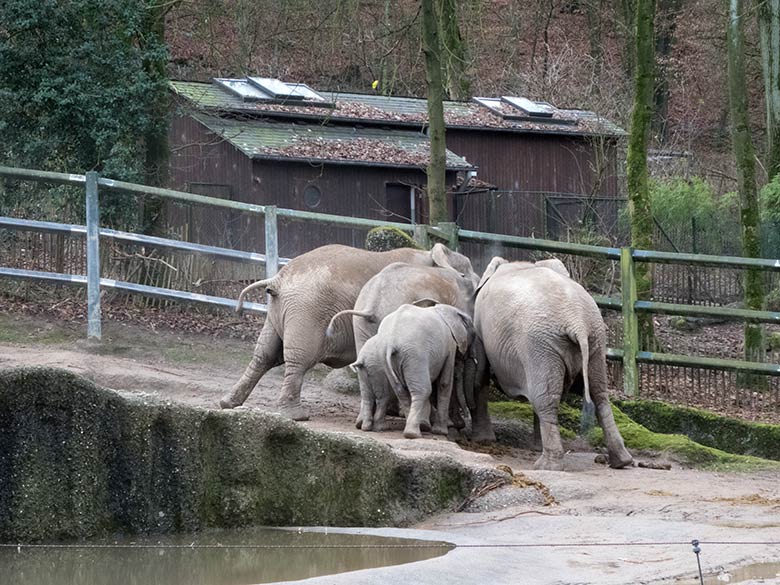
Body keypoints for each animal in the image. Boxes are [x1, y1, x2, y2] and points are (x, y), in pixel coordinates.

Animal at [216, 242, 478, 420]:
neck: (433, 254)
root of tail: (278, 279)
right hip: (306, 312)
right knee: (298, 359)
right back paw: (295, 416)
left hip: (281, 311)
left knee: (265, 354)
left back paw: (228, 403)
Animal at [350, 304, 472, 436]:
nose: (466, 417)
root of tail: (391, 343)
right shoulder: (450, 345)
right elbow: (444, 383)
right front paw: (441, 431)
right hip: (414, 355)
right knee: (422, 390)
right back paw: (413, 432)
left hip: (383, 362)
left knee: (394, 392)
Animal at [470, 256, 632, 470]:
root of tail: (577, 322)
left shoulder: (480, 326)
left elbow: (481, 373)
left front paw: (483, 440)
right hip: (595, 340)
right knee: (599, 394)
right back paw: (621, 461)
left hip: (540, 345)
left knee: (545, 398)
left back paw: (546, 465)